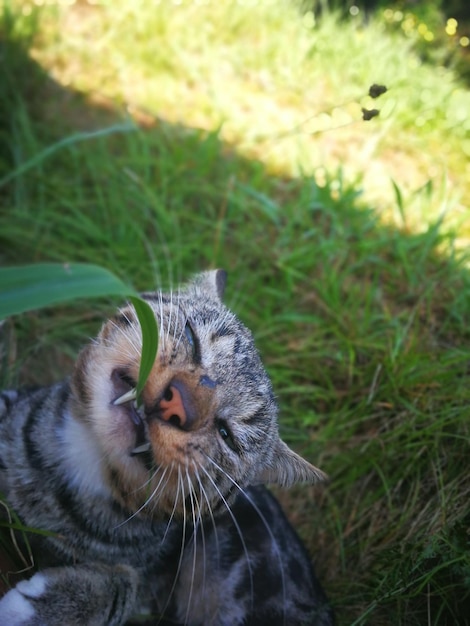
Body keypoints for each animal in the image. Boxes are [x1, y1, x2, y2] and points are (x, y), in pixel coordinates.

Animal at [0, 270, 334, 624]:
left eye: (227, 434)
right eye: (191, 337)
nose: (179, 403)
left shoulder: (154, 588)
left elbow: (126, 582)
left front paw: (45, 608)